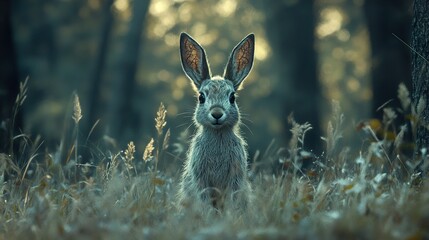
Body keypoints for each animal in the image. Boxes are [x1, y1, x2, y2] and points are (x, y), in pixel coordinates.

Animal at [176, 32, 254, 214]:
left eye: (232, 97)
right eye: (201, 97)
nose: (217, 114)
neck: (217, 133)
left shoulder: (235, 177)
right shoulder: (201, 178)